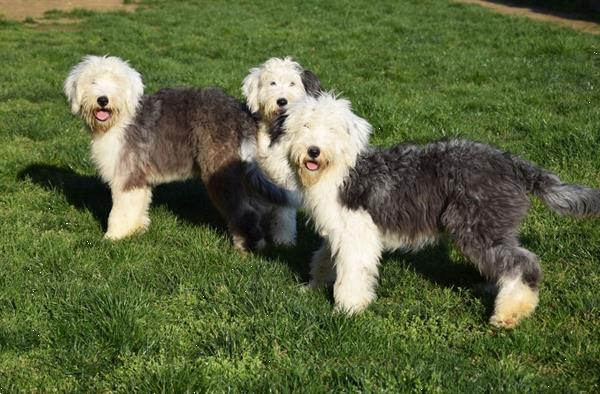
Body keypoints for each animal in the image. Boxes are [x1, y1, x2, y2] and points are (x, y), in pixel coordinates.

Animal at [64, 54, 292, 252]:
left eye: (116, 82)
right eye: (93, 81)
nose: (103, 100)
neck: (119, 120)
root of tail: (241, 115)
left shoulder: (126, 175)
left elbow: (120, 211)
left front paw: (113, 237)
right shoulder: (139, 178)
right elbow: (138, 204)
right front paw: (137, 230)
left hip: (221, 172)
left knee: (245, 211)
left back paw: (248, 248)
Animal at [240, 57, 322, 246]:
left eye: (292, 83)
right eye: (272, 83)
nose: (282, 101)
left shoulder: (285, 177)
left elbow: (284, 212)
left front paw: (283, 240)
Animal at [272, 94, 600, 328]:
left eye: (331, 129)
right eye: (304, 126)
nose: (313, 151)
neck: (340, 170)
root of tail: (513, 163)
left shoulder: (357, 233)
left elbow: (353, 272)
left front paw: (348, 309)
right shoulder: (339, 230)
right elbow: (324, 258)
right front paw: (312, 287)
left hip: (476, 226)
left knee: (524, 264)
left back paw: (507, 314)